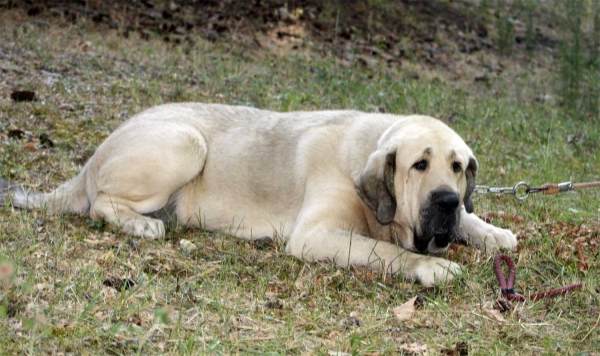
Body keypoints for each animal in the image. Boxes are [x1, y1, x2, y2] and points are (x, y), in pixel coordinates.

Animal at [0, 103, 516, 286]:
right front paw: (430, 267)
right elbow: (383, 250)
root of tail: (92, 157)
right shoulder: (317, 235)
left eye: (457, 167)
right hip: (187, 143)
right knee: (101, 203)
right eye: (418, 165)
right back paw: (142, 223)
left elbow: (472, 221)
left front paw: (491, 231)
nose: (446, 201)